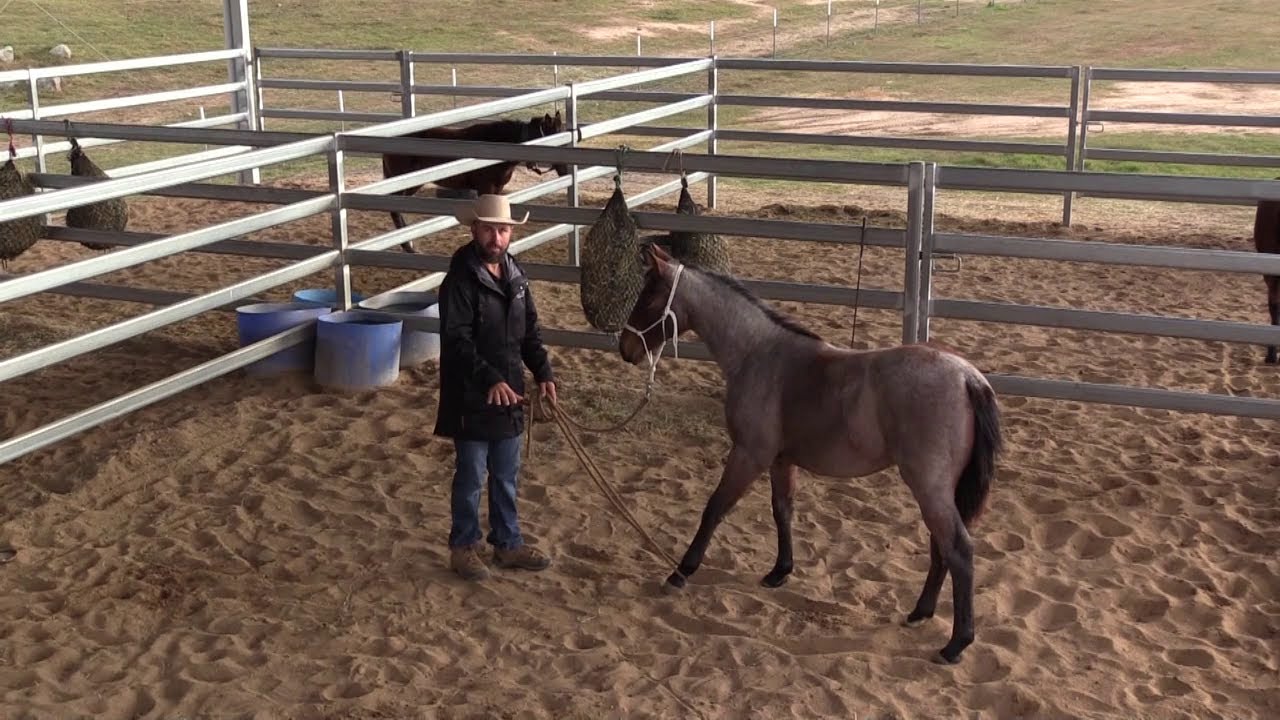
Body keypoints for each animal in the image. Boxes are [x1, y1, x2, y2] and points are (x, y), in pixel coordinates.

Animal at [379, 111, 569, 252]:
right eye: (558, 142)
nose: (566, 170)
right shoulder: (485, 188)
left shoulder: (497, 188)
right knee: (394, 211)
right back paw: (409, 247)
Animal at [618, 243, 1003, 665]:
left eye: (649, 297)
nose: (625, 348)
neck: (759, 354)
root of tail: (968, 377)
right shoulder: (780, 460)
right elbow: (782, 511)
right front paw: (779, 572)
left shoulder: (749, 454)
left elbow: (715, 507)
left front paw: (680, 572)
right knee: (941, 546)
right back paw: (920, 612)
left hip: (928, 486)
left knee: (958, 549)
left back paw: (955, 644)